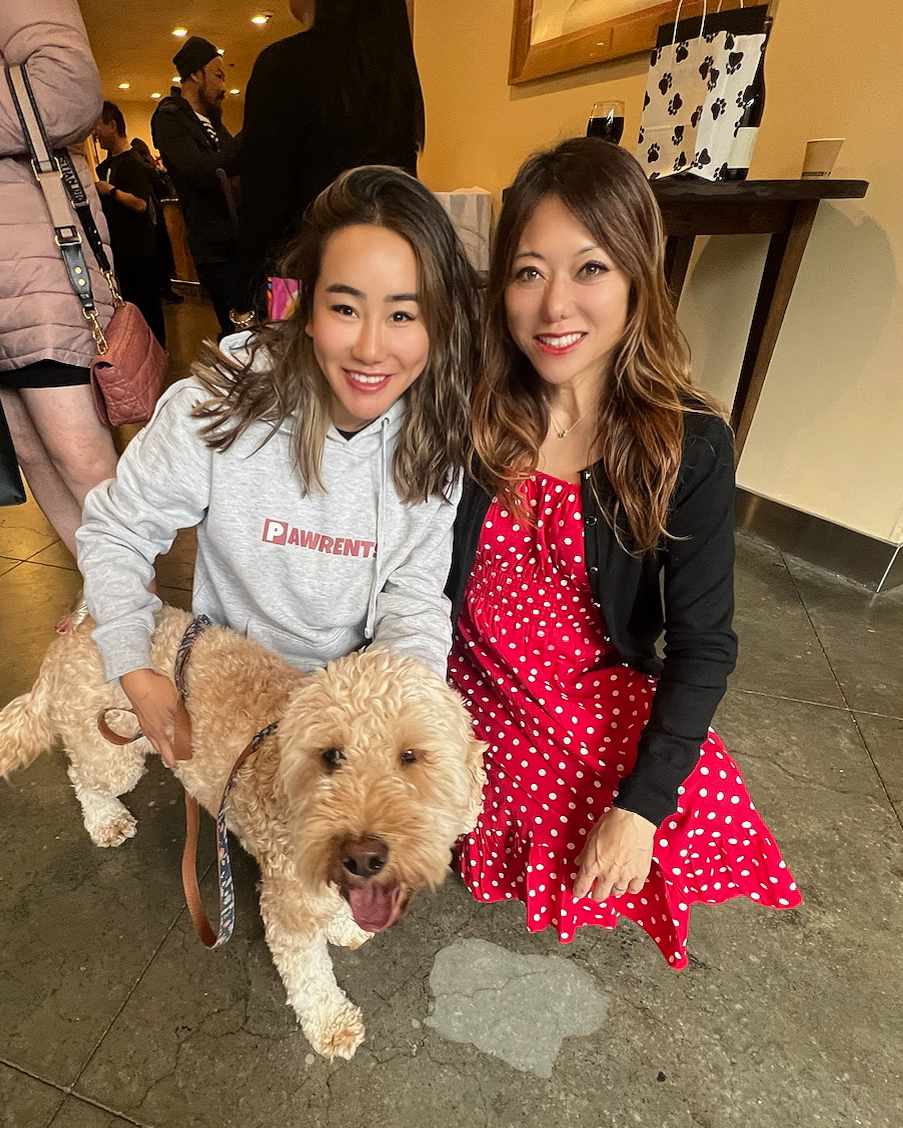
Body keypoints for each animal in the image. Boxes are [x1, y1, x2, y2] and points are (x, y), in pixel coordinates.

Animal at [0, 609, 487, 1055]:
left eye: (410, 756)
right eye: (330, 755)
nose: (364, 856)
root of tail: (77, 625)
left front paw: (343, 924)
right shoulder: (287, 902)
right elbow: (309, 977)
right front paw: (331, 1025)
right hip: (111, 750)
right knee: (84, 778)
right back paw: (105, 820)